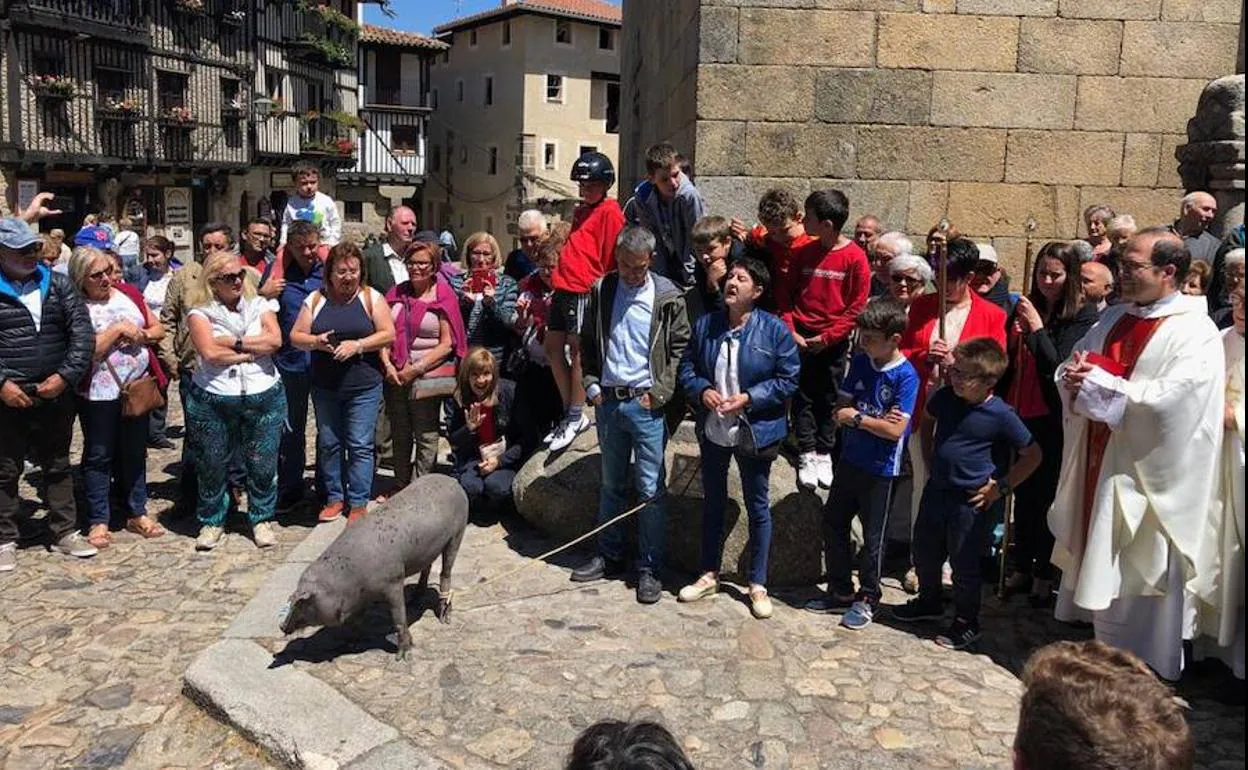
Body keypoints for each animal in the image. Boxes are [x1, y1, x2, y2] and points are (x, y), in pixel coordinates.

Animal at [278, 471, 469, 658]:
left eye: (302, 601)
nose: (281, 626)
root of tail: (452, 480)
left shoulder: (394, 580)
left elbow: (399, 617)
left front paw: (403, 656)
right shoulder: (361, 596)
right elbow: (357, 620)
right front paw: (347, 645)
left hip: (457, 533)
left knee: (446, 571)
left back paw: (444, 618)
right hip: (428, 550)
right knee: (427, 568)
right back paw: (414, 599)